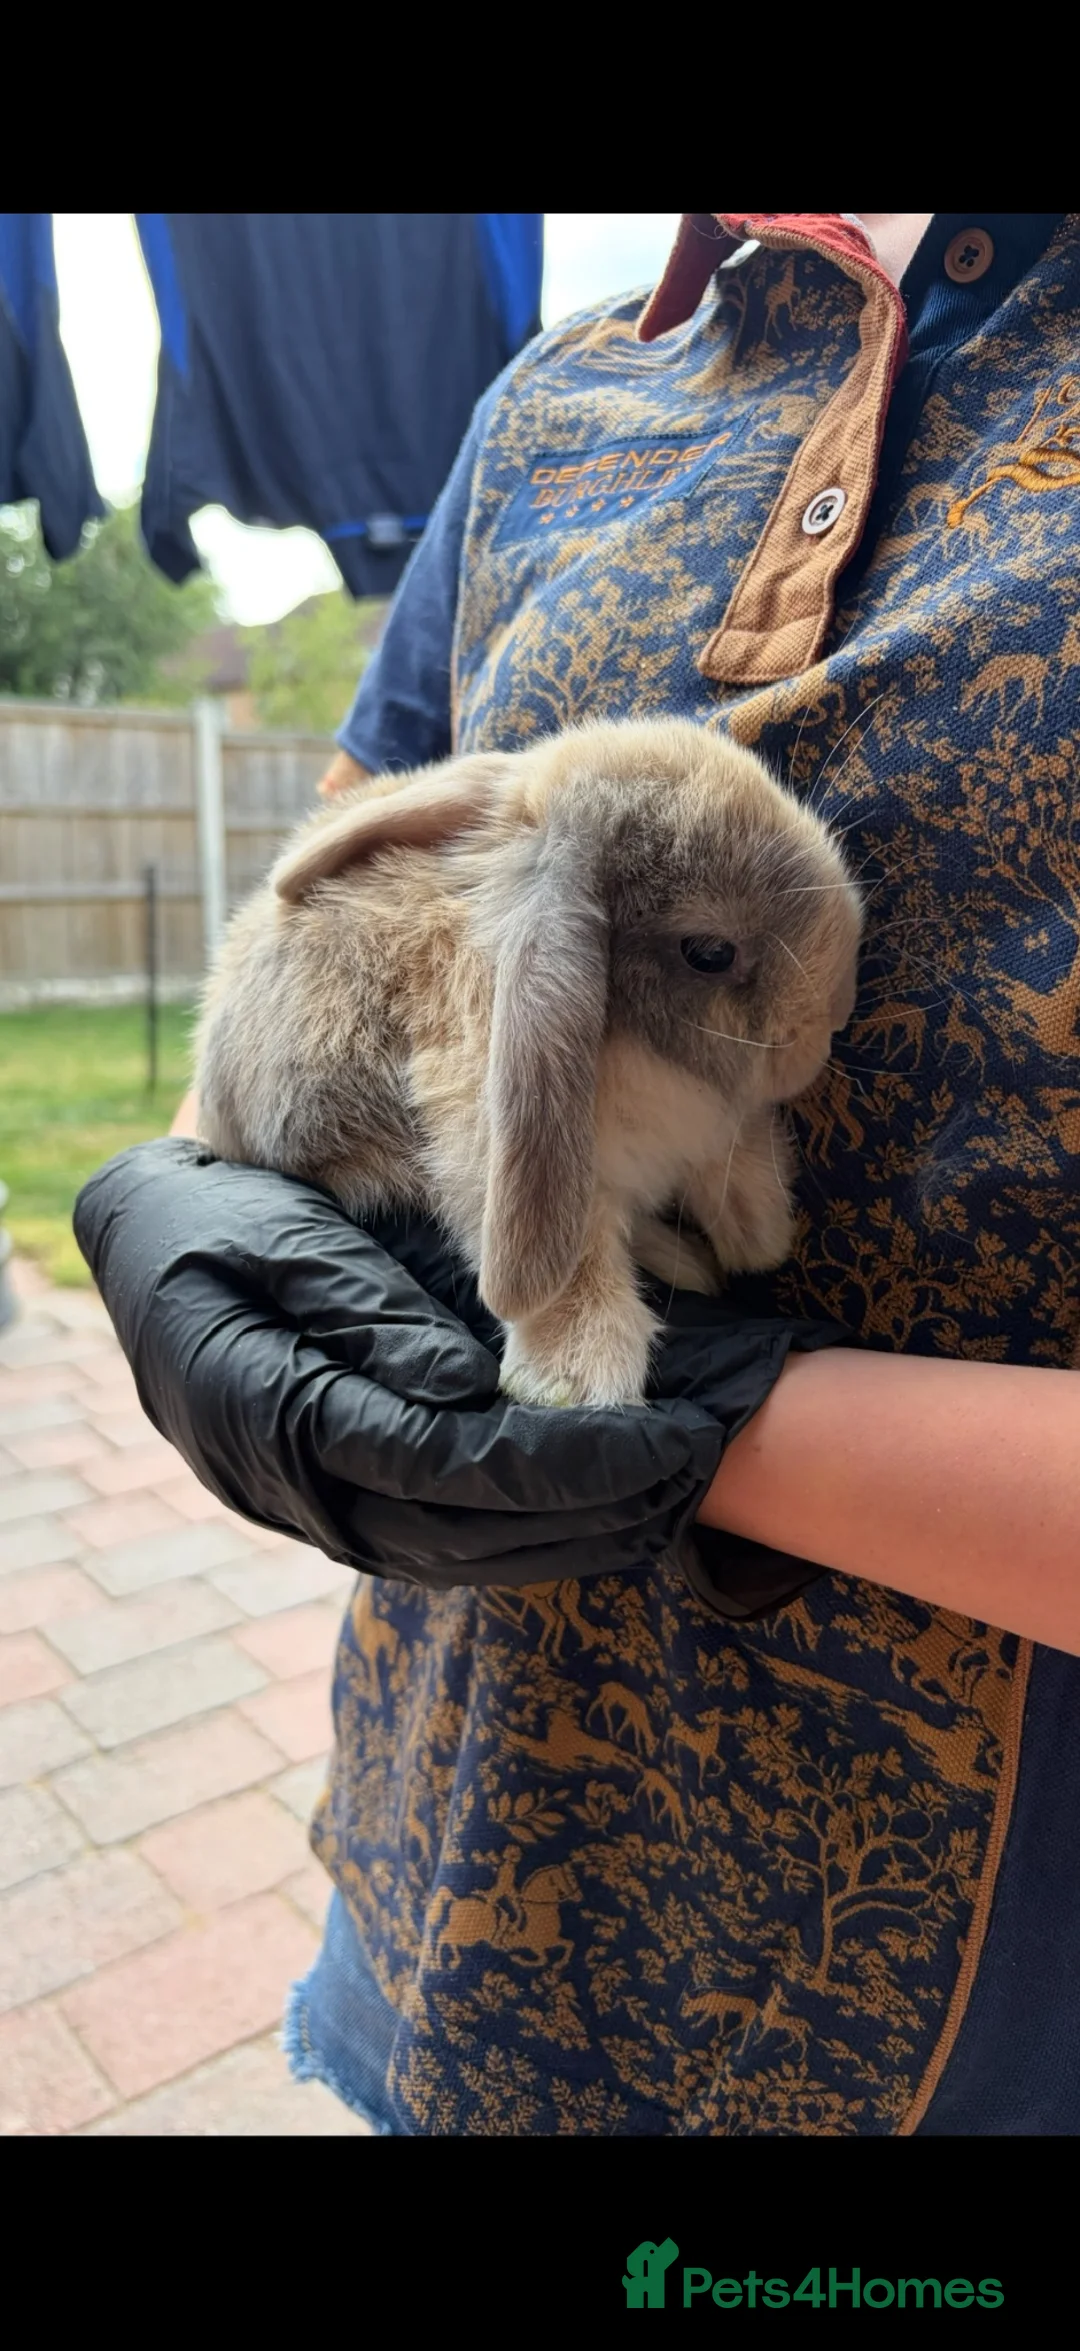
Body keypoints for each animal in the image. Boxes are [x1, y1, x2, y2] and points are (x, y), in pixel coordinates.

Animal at [194, 717, 863, 1408]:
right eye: (710, 952)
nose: (834, 1016)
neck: (633, 1043)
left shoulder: (707, 1137)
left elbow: (732, 1167)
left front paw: (758, 1238)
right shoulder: (516, 1160)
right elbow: (575, 1263)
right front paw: (573, 1377)